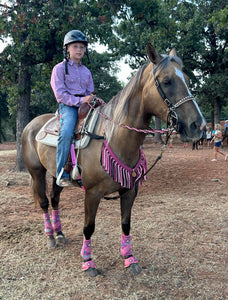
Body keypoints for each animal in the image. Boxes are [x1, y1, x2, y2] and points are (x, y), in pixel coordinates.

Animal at [21, 42, 207, 276]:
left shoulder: (129, 190)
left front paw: (129, 257)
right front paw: (88, 262)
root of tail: (31, 124)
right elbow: (88, 227)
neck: (111, 136)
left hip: (57, 175)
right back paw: (51, 238)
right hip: (37, 172)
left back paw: (60, 234)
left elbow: (126, 223)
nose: (198, 126)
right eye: (167, 81)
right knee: (45, 202)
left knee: (54, 199)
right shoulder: (92, 193)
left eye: (189, 81)